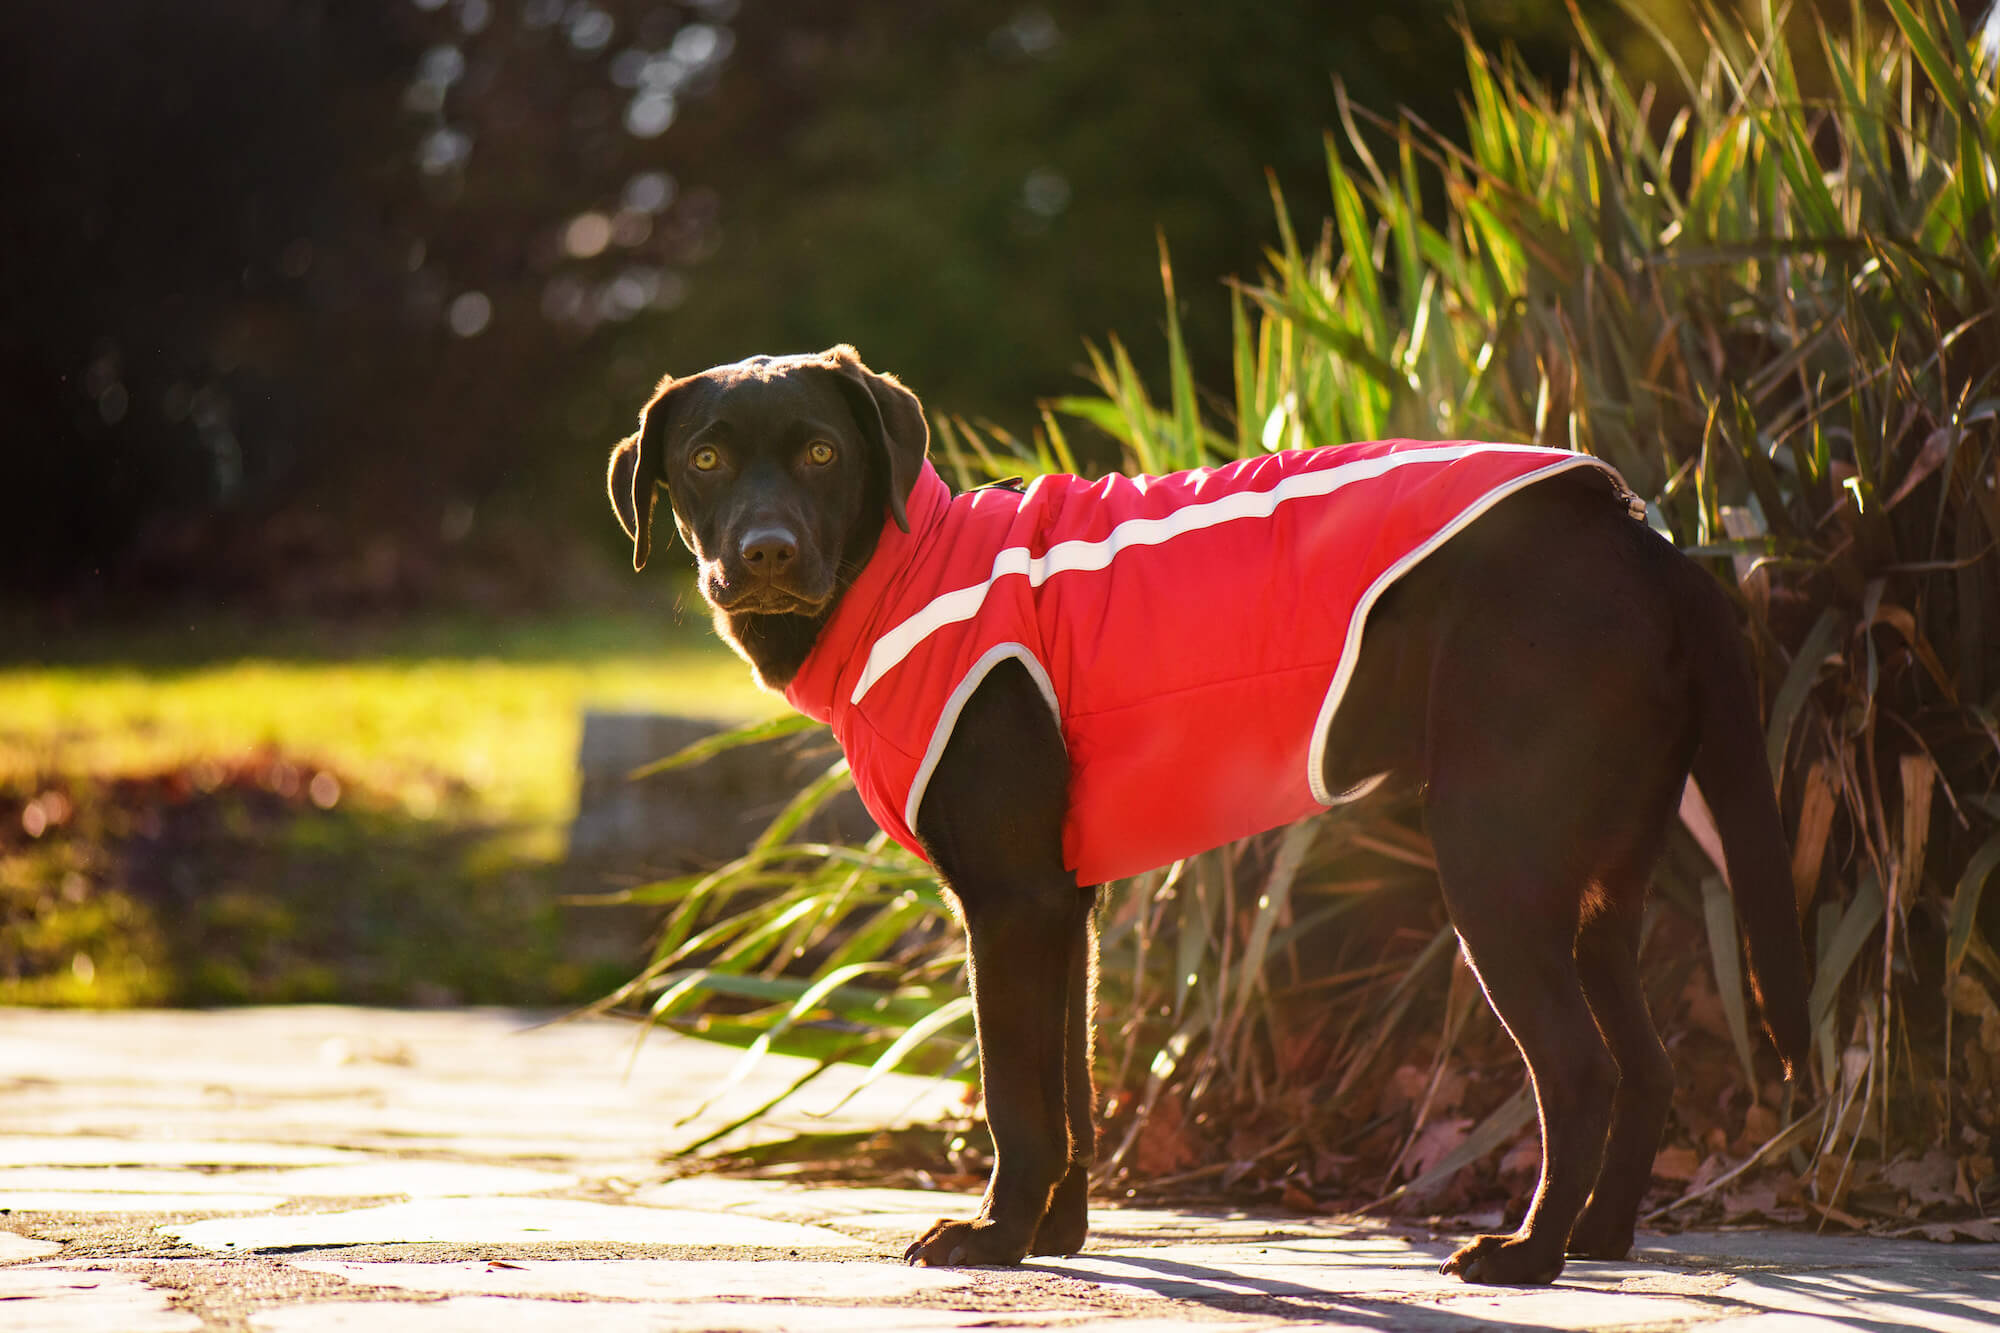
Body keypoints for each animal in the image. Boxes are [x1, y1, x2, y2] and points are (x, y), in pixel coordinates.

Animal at [608, 342, 1816, 1280]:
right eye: (704, 458)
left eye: (822, 450)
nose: (762, 553)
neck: (900, 570)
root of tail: (1643, 538)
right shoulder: (1067, 904)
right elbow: (1073, 1090)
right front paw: (1051, 1236)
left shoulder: (1008, 902)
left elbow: (1014, 1097)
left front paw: (991, 1237)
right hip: (1601, 883)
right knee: (1647, 1064)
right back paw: (1600, 1240)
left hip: (1494, 867)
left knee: (1579, 1068)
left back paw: (1525, 1256)